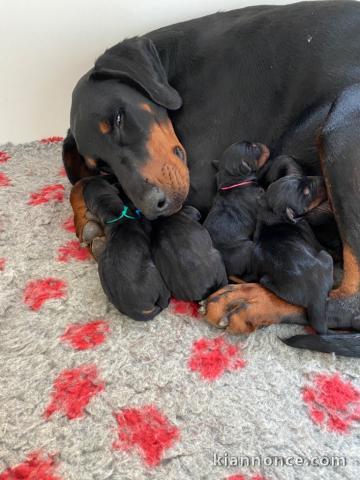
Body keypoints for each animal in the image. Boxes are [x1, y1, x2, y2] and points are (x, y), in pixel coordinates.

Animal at [202, 141, 270, 278]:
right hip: (247, 247)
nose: (263, 144)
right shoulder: (260, 196)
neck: (233, 181)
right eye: (253, 147)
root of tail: (228, 271)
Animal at [252, 174, 334, 336]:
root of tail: (315, 297)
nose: (322, 178)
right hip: (325, 256)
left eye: (298, 176)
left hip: (265, 280)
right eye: (306, 193)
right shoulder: (309, 232)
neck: (273, 215)